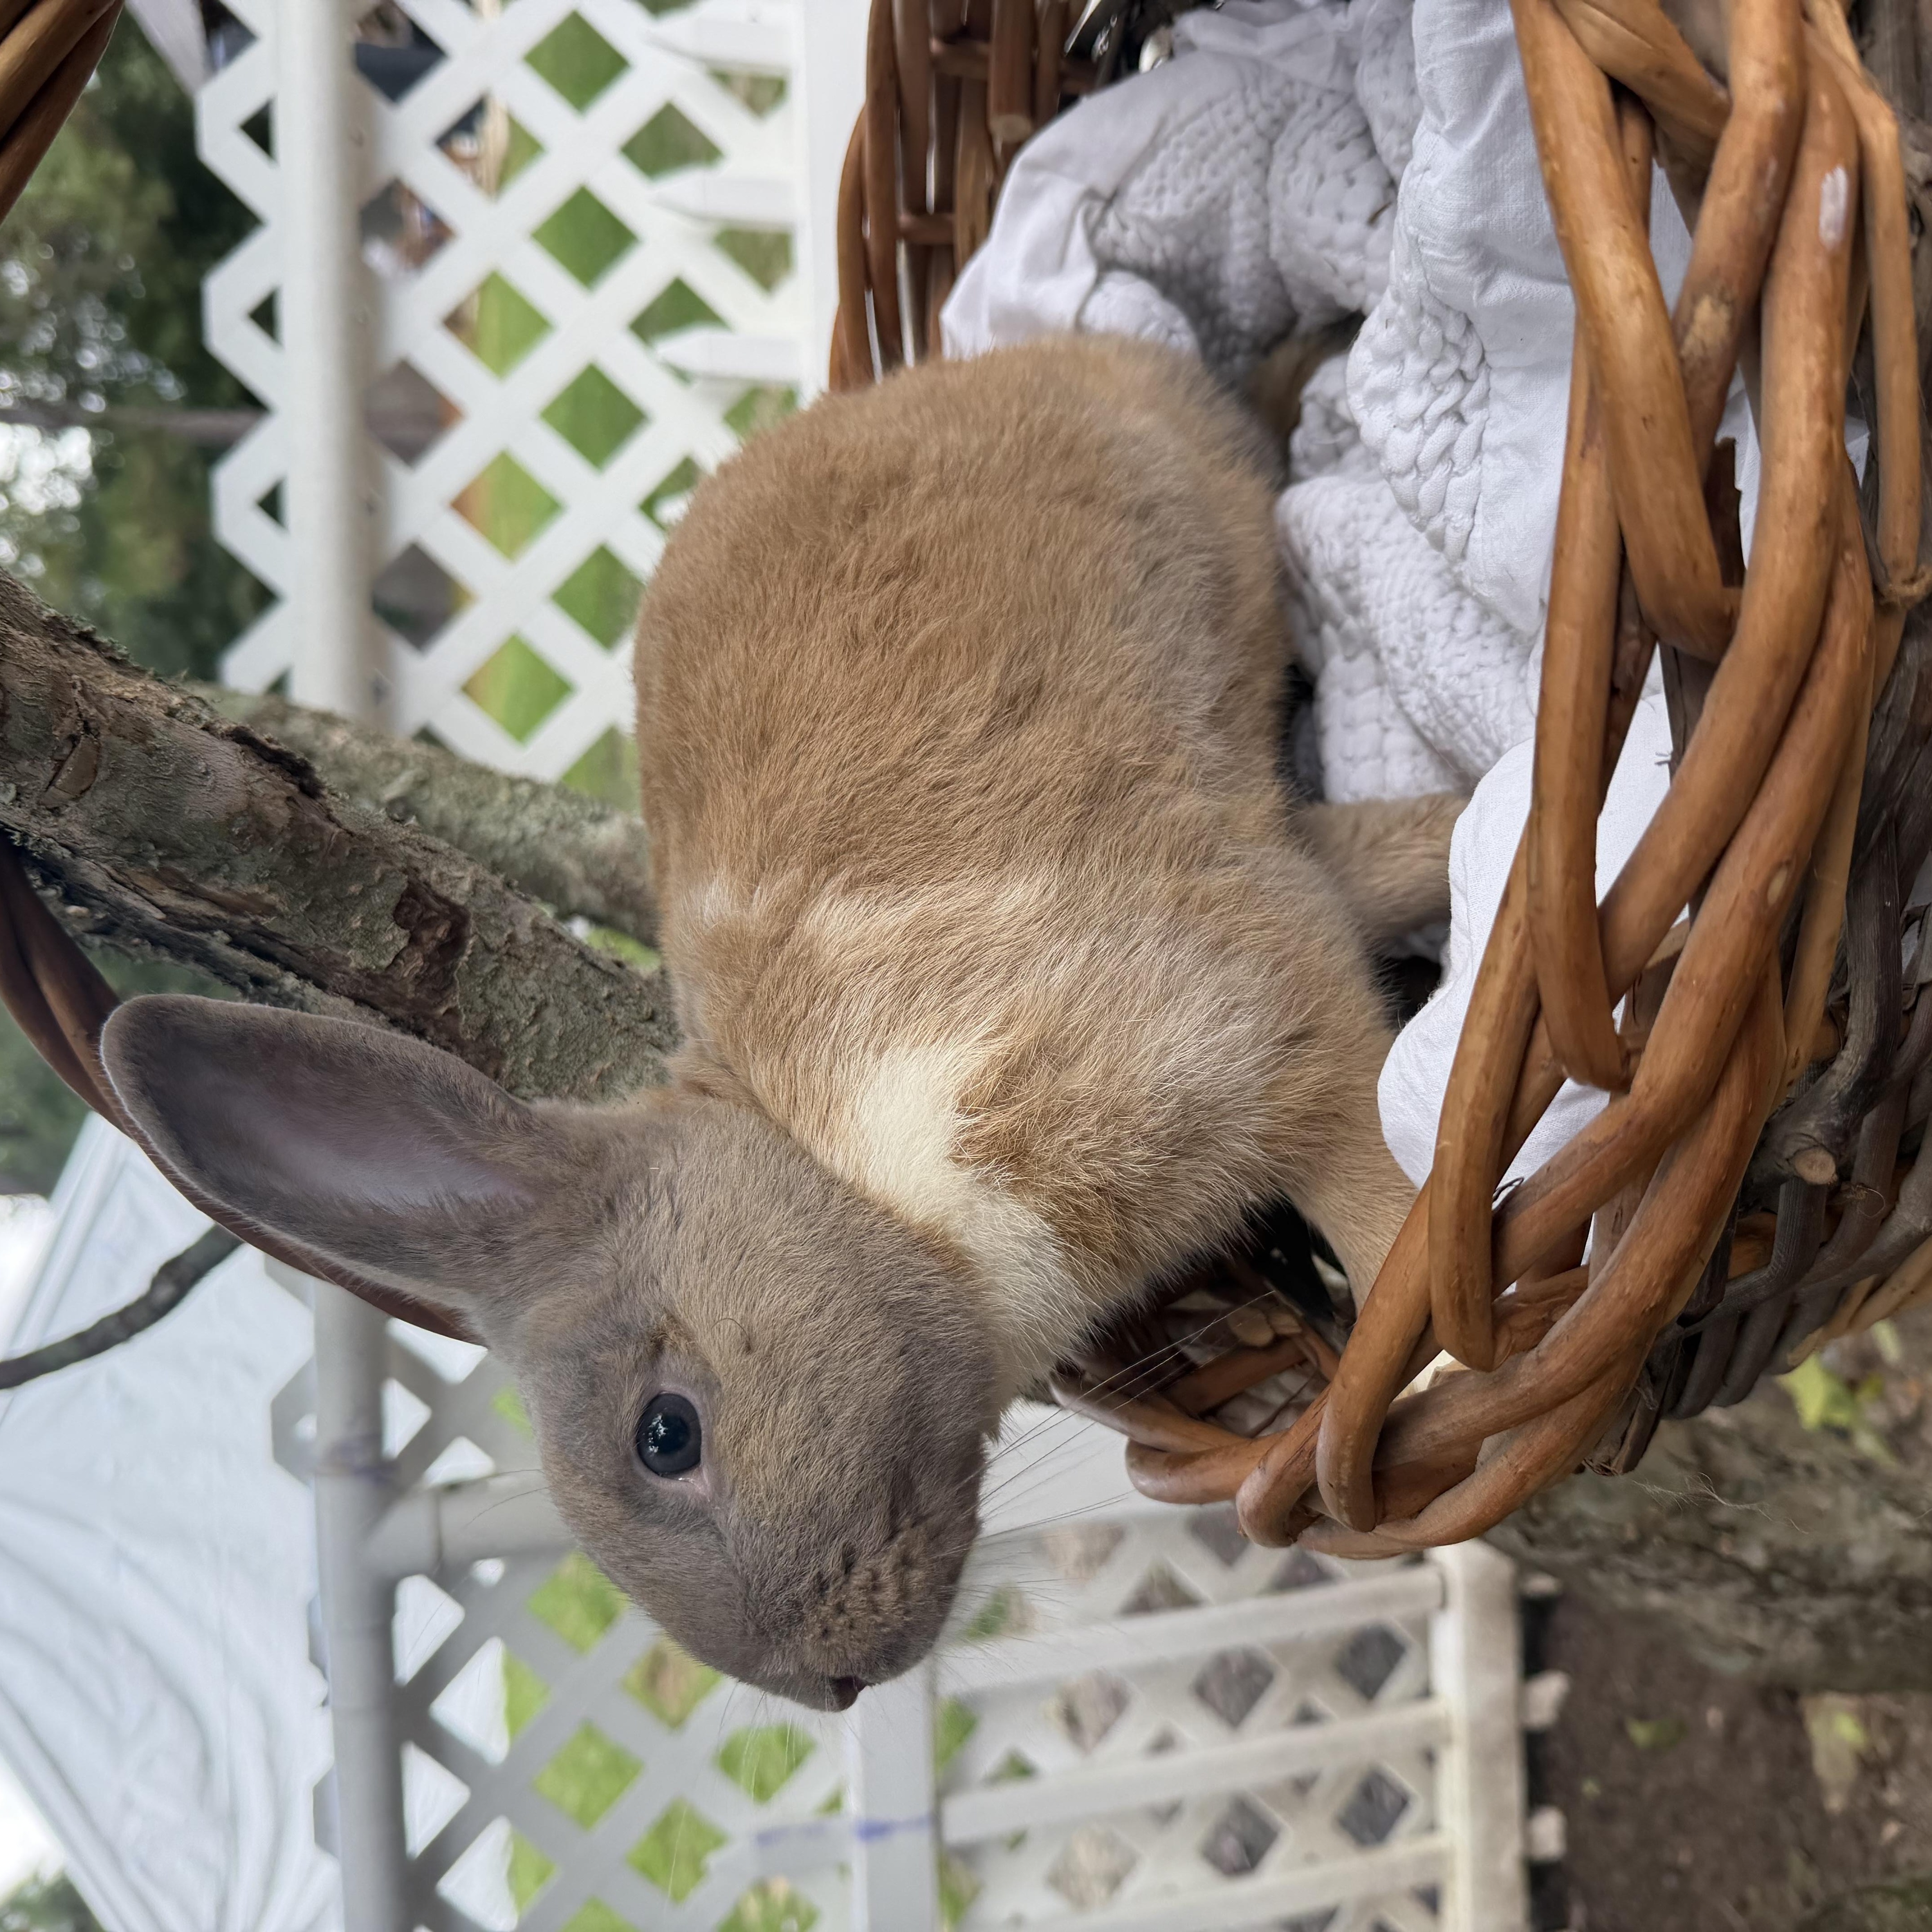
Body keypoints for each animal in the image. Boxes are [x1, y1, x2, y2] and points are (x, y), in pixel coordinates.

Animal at [99, 334, 1458, 1712]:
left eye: (666, 1433)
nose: (826, 1687)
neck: (849, 1170)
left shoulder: (1256, 1025)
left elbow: (1385, 1202)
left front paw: (1442, 1368)